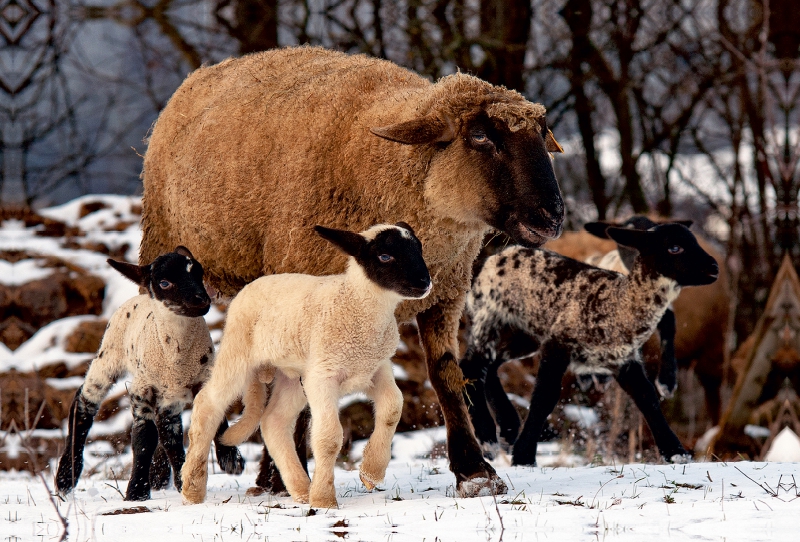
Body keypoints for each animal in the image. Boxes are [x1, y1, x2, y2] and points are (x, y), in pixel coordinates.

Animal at [54, 249, 242, 504]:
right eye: (164, 283)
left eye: (199, 272)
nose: (201, 300)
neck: (178, 357)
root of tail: (141, 296)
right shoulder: (143, 391)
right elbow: (144, 438)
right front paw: (137, 491)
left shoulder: (203, 377)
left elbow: (211, 417)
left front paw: (231, 460)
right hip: (109, 355)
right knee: (84, 401)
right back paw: (65, 476)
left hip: (167, 396)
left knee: (170, 433)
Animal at [181, 222, 432, 510]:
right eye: (385, 256)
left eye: (419, 249)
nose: (425, 283)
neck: (357, 306)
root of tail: (250, 287)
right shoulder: (324, 376)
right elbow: (329, 437)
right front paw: (324, 500)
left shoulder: (376, 368)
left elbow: (392, 408)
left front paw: (371, 473)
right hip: (239, 353)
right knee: (207, 405)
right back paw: (192, 490)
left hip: (293, 377)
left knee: (273, 421)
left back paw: (301, 489)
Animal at [460, 225, 720, 468]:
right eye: (674, 247)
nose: (715, 267)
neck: (619, 304)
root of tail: (493, 259)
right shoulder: (559, 342)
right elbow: (545, 397)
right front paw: (524, 457)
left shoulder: (622, 359)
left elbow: (648, 398)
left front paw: (676, 453)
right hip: (492, 318)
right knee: (470, 366)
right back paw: (488, 439)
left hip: (522, 334)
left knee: (489, 367)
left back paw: (508, 428)